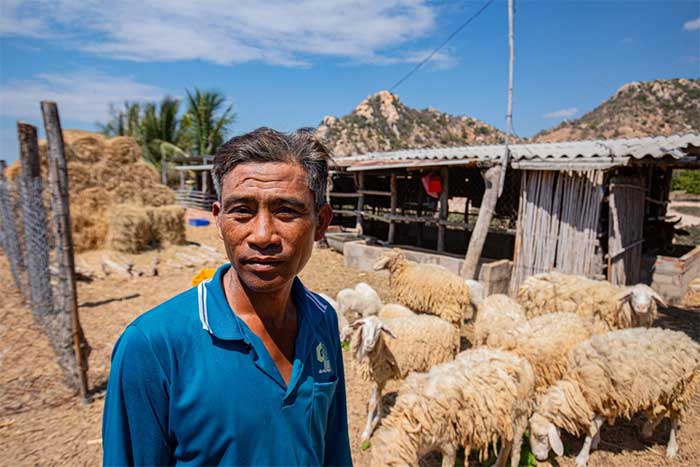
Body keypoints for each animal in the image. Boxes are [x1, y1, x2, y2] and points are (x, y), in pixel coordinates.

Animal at [370, 347, 536, 467]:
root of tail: (519, 359)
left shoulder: (448, 443)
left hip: (520, 416)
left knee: (516, 450)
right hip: (506, 420)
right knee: (507, 443)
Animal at [529, 327, 700, 466]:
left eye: (541, 436)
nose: (537, 458)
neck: (578, 386)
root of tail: (690, 341)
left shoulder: (608, 399)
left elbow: (592, 429)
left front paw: (582, 458)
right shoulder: (602, 401)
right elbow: (595, 426)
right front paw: (596, 441)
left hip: (681, 389)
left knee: (674, 418)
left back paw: (671, 448)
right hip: (663, 390)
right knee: (662, 410)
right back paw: (647, 430)